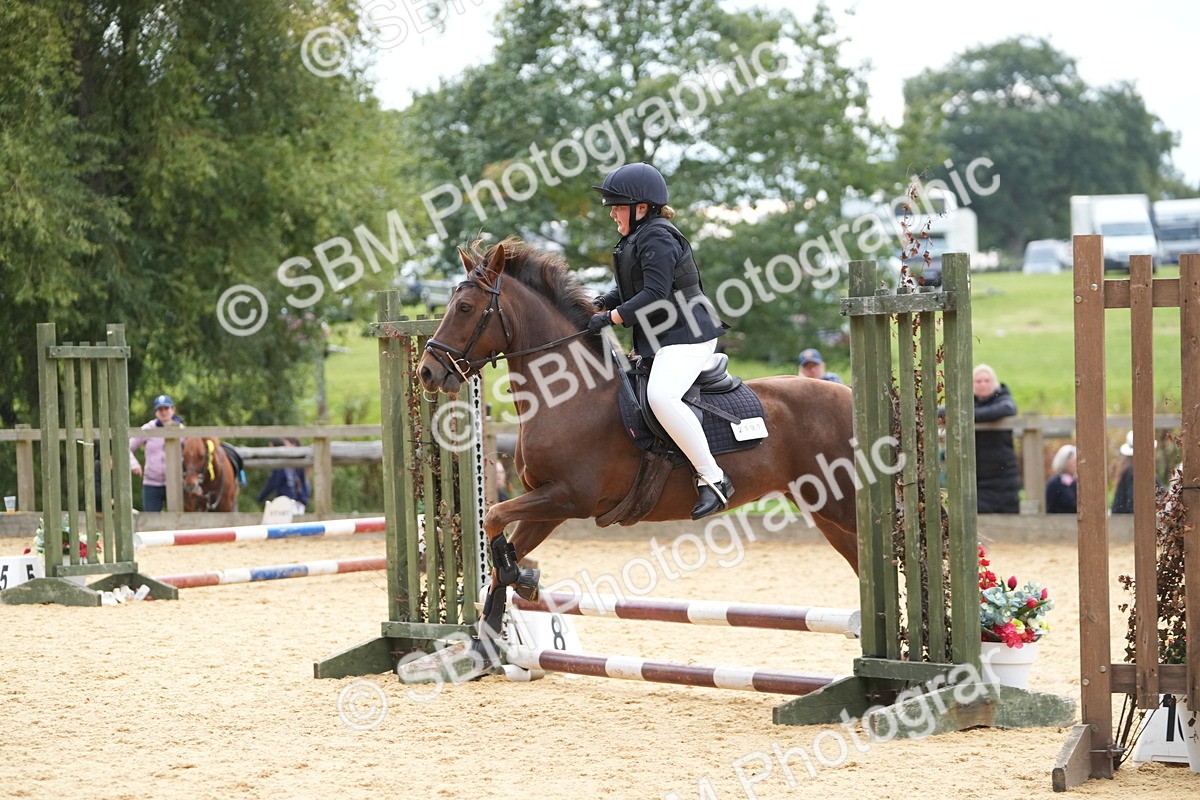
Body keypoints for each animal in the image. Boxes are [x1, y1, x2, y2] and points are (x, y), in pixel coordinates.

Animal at [416, 239, 860, 641]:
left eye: (465, 308)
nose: (427, 372)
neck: (568, 393)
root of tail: (851, 395)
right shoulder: (549, 503)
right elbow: (500, 541)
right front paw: (499, 614)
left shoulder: (569, 497)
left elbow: (492, 516)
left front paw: (518, 578)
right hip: (823, 510)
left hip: (842, 506)